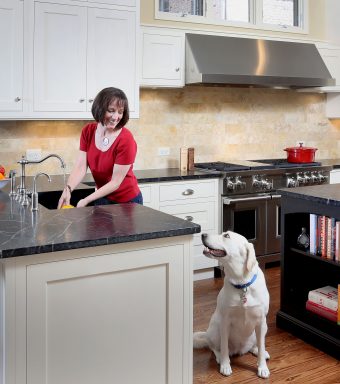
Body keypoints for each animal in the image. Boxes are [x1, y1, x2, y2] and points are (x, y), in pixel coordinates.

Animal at [195, 231, 270, 378]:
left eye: (226, 236)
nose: (203, 234)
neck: (242, 283)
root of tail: (240, 350)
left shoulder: (260, 321)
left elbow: (262, 345)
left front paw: (262, 367)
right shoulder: (225, 322)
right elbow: (224, 347)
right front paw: (225, 365)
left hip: (263, 328)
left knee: (257, 344)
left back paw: (258, 351)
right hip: (215, 329)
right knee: (214, 347)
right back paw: (219, 357)